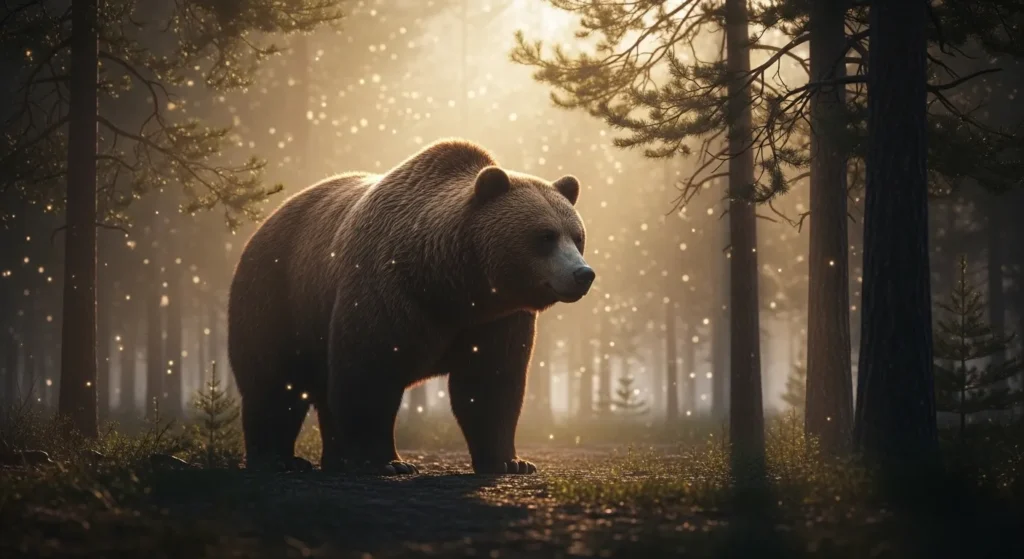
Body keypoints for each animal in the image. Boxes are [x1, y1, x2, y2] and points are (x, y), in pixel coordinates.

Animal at [227, 139, 594, 475]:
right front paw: (387, 462)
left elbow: (491, 382)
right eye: (545, 236)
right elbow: (369, 372)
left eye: (577, 236)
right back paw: (278, 459)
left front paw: (511, 461)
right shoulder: (387, 290)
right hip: (277, 294)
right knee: (273, 383)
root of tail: (262, 225)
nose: (583, 274)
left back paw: (335, 461)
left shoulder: (496, 319)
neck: (452, 287)